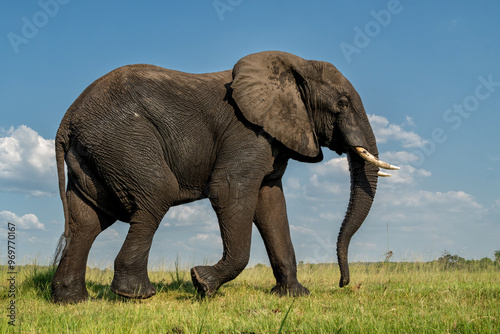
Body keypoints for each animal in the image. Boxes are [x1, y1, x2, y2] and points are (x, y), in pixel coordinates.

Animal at [50, 51, 398, 304]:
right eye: (342, 104)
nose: (343, 283)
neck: (295, 65)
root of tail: (67, 120)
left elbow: (271, 204)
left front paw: (294, 296)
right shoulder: (246, 133)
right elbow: (230, 191)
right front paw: (202, 283)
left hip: (95, 153)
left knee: (87, 218)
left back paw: (72, 301)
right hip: (122, 139)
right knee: (155, 195)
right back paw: (137, 295)